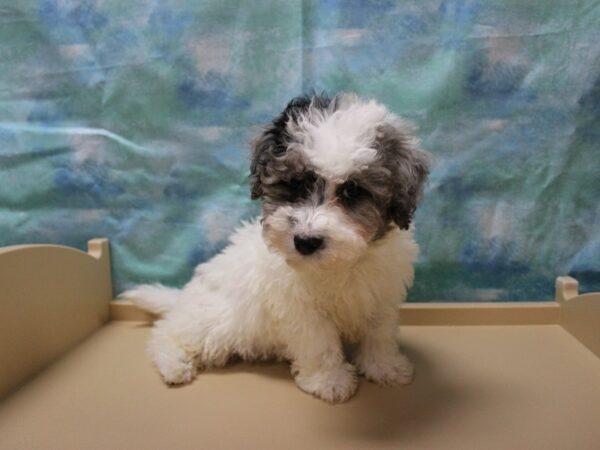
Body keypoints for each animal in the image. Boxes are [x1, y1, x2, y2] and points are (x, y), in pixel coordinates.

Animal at [120, 93, 432, 402]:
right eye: (295, 184)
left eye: (352, 191)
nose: (305, 241)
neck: (342, 264)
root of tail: (184, 298)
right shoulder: (300, 307)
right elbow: (319, 342)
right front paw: (329, 380)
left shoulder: (381, 293)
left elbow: (379, 333)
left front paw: (385, 367)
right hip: (218, 324)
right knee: (167, 331)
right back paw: (173, 364)